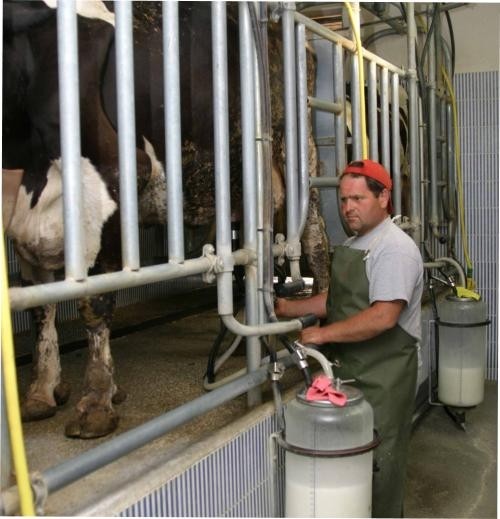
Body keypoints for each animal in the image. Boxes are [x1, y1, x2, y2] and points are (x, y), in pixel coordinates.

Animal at [4, 1, 332, 438]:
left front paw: (96, 403)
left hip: (298, 154)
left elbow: (95, 301)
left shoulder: (118, 178)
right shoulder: (24, 223)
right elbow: (40, 306)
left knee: (315, 239)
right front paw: (42, 390)